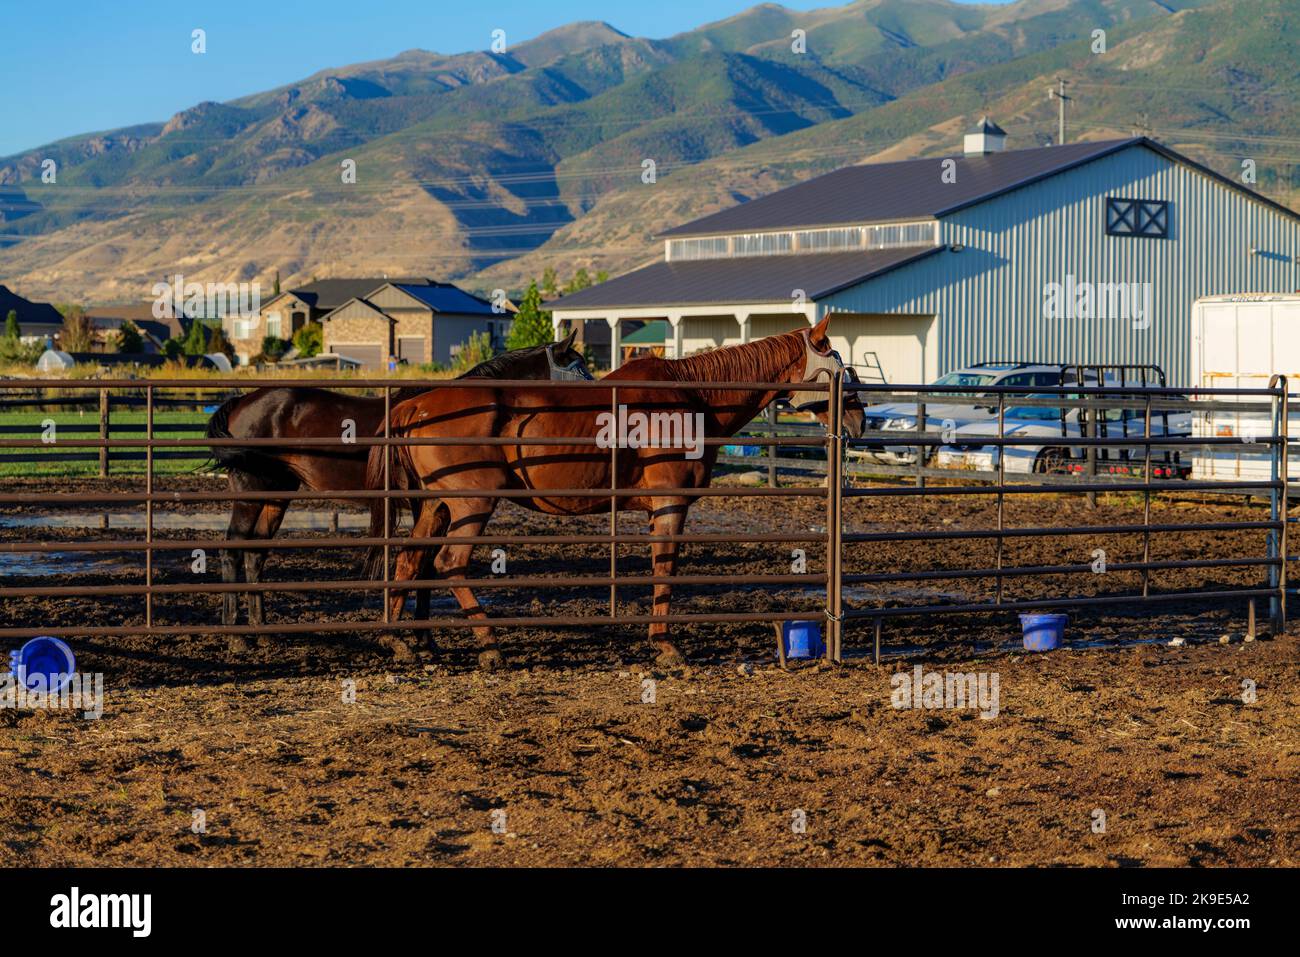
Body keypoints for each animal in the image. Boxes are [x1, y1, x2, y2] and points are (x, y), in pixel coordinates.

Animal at [205, 332, 592, 631]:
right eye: (577, 366)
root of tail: (243, 400)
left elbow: (425, 566)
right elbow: (424, 565)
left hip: (277, 493)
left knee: (255, 552)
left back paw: (260, 629)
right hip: (251, 491)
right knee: (233, 548)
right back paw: (234, 633)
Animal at [364, 317, 863, 670]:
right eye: (839, 365)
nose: (859, 419)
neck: (693, 397)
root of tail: (417, 403)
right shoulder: (670, 505)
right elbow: (666, 569)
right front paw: (664, 644)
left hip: (435, 506)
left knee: (410, 560)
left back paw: (397, 638)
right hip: (471, 506)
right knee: (450, 563)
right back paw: (488, 645)